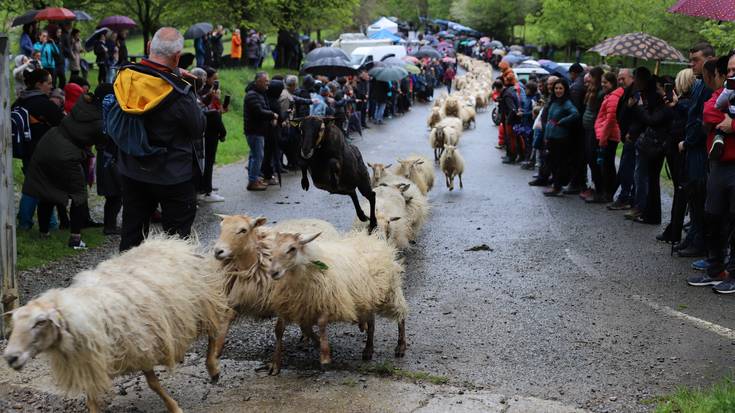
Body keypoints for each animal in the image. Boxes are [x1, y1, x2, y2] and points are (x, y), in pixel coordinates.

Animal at [2, 235, 227, 412]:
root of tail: (169, 241)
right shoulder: (92, 362)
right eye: (14, 323)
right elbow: (92, 400)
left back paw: (213, 368)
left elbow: (153, 384)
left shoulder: (142, 343)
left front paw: (174, 407)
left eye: (40, 322)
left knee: (214, 333)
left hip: (203, 305)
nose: (10, 357)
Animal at [268, 229, 412, 374]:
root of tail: (371, 237)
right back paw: (368, 349)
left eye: (292, 248)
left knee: (401, 316)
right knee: (372, 323)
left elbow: (321, 323)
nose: (273, 272)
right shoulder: (291, 305)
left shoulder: (331, 302)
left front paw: (325, 356)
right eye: (272, 250)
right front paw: (275, 364)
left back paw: (400, 346)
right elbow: (280, 329)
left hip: (390, 291)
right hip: (369, 296)